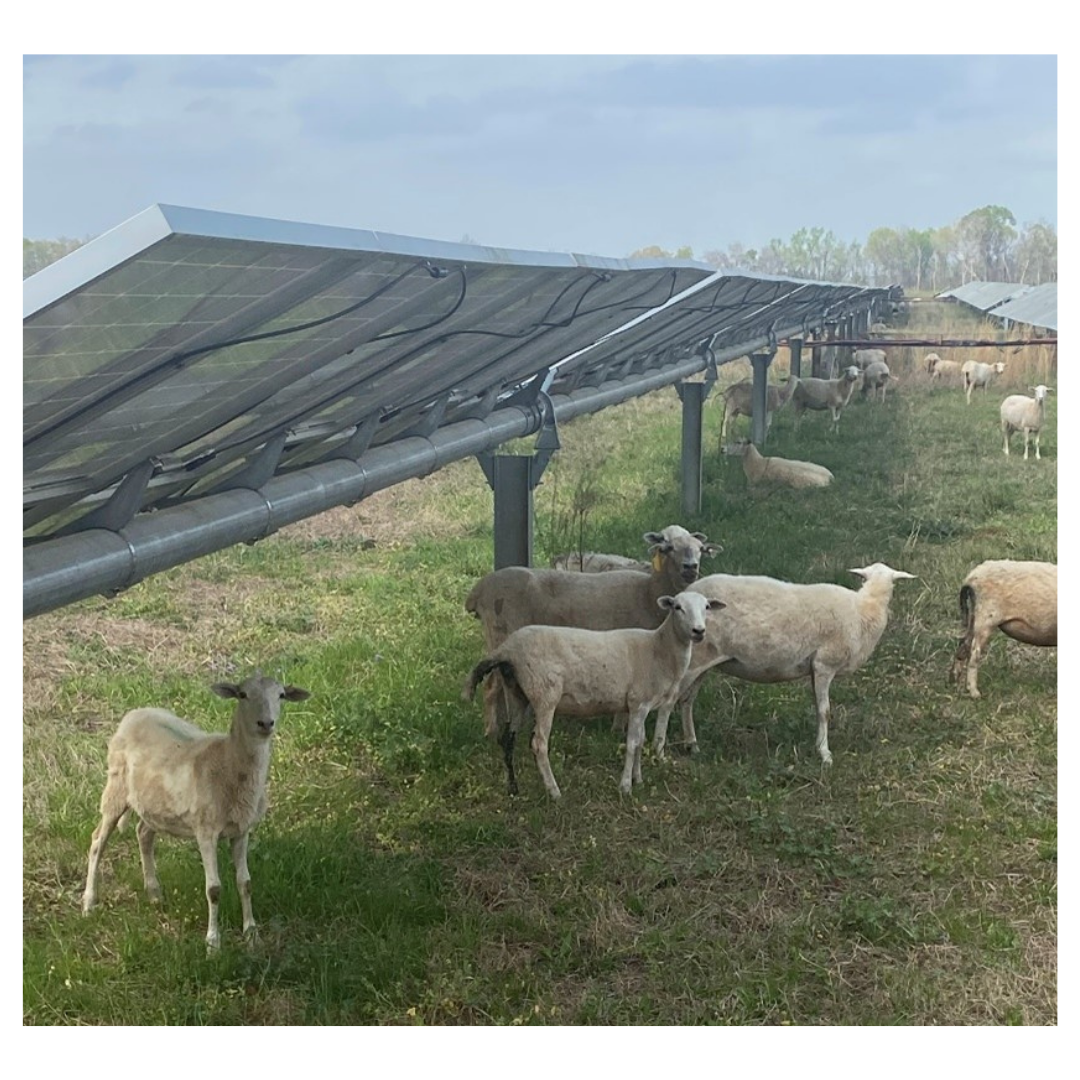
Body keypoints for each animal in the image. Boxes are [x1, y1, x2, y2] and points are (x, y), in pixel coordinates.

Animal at [81, 669, 311, 950]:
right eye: (242, 694)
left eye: (281, 695)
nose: (265, 723)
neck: (229, 763)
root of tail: (134, 713)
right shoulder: (206, 830)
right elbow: (214, 889)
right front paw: (213, 943)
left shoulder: (241, 830)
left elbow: (245, 883)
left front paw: (251, 933)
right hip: (116, 788)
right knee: (97, 842)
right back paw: (89, 902)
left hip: (153, 803)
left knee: (143, 833)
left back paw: (154, 893)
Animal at [464, 587, 725, 799]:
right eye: (678, 607)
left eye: (707, 607)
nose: (699, 631)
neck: (658, 650)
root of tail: (507, 649)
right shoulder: (638, 702)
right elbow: (632, 744)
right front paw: (625, 787)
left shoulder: (641, 706)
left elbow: (640, 741)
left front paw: (638, 779)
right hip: (544, 694)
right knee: (538, 744)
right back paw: (554, 791)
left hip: (518, 693)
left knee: (507, 739)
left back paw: (513, 788)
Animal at [648, 561, 920, 764]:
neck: (864, 609)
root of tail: (681, 597)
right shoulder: (825, 664)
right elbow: (825, 711)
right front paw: (825, 754)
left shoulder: (814, 668)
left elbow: (817, 708)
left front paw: (818, 746)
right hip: (693, 661)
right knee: (668, 703)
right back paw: (659, 751)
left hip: (703, 662)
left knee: (686, 701)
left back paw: (692, 745)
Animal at [954, 557, 1054, 699]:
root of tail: (971, 577)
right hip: (986, 617)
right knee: (974, 653)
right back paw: (974, 693)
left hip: (974, 616)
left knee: (963, 645)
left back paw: (954, 682)